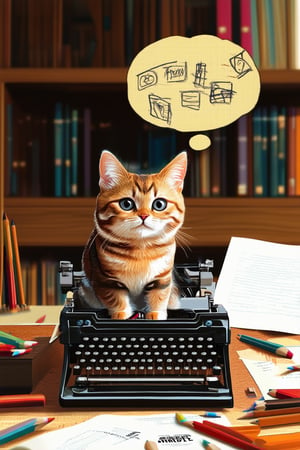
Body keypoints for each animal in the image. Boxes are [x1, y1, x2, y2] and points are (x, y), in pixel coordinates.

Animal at [81, 151, 186, 320]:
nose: (143, 215)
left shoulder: (161, 278)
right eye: (126, 204)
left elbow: (158, 297)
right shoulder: (106, 280)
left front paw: (155, 315)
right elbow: (116, 299)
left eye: (159, 204)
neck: (140, 251)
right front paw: (121, 315)